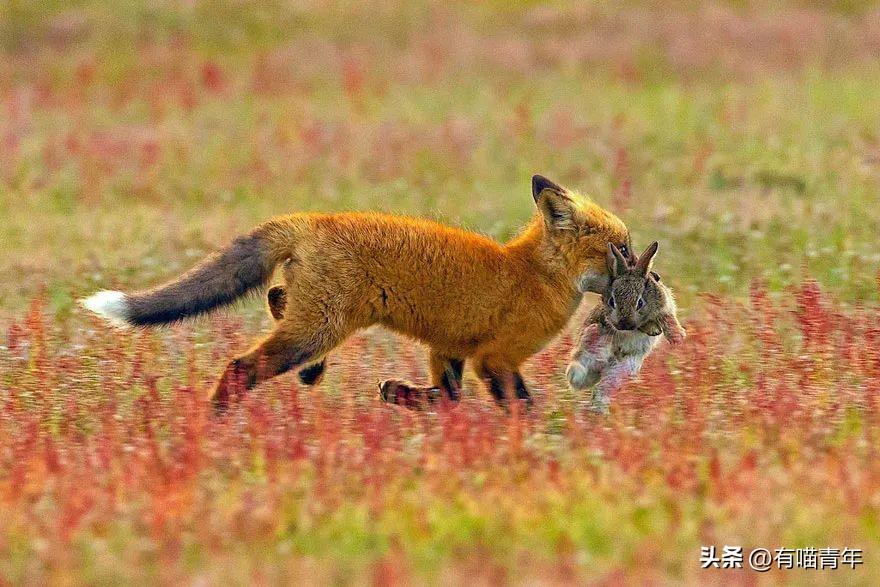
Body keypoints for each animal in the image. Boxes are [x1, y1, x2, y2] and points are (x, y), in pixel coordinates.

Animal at [79, 177, 632, 412]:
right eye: (621, 248)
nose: (644, 270)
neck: (533, 272)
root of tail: (312, 219)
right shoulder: (495, 358)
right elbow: (519, 407)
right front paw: (540, 447)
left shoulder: (449, 348)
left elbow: (447, 398)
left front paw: (403, 397)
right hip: (319, 327)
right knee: (241, 365)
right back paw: (214, 419)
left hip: (316, 318)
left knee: (276, 297)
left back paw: (311, 372)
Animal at [564, 241, 688, 416]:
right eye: (612, 301)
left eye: (640, 303)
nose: (624, 324)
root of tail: (603, 369)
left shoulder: (664, 306)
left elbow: (667, 319)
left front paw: (677, 338)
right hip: (588, 350)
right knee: (580, 368)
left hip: (623, 369)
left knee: (603, 389)